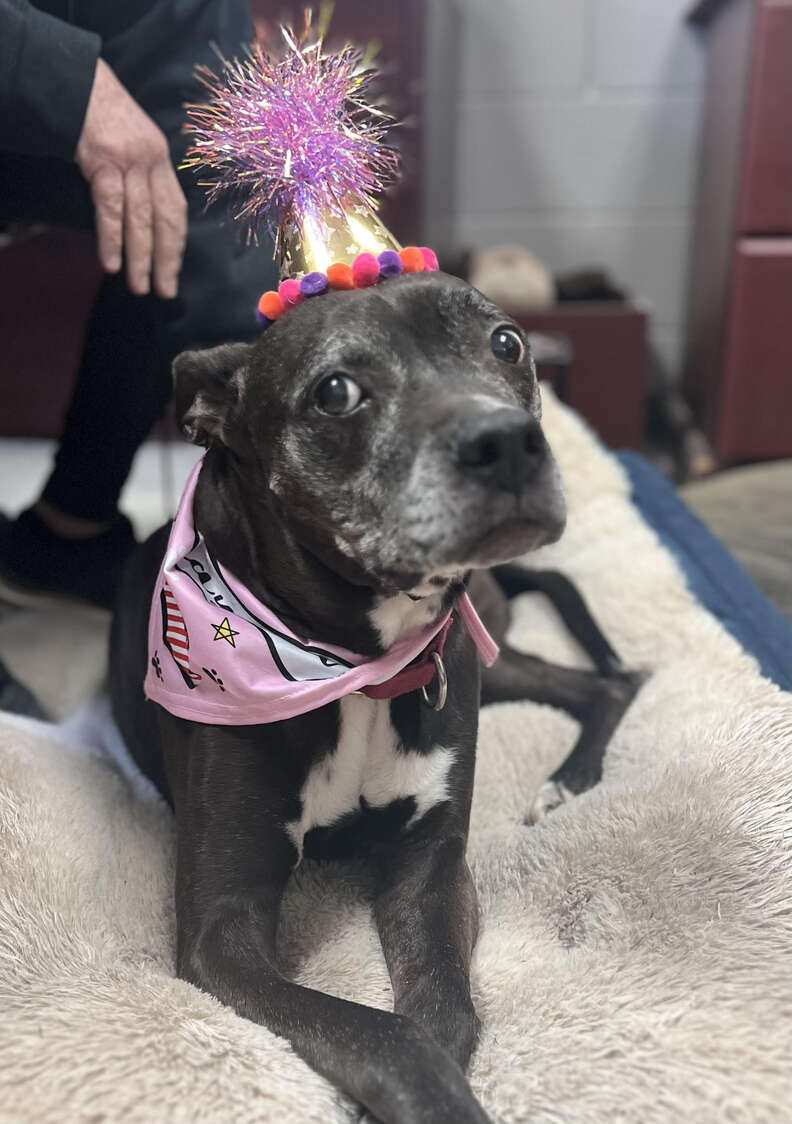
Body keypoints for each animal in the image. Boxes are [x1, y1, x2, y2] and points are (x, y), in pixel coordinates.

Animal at [112, 272, 629, 1124]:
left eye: (506, 342)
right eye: (335, 392)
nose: (507, 441)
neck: (352, 666)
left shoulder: (429, 866)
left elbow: (442, 1012)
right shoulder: (222, 927)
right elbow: (387, 1035)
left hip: (479, 658)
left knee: (607, 682)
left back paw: (568, 781)